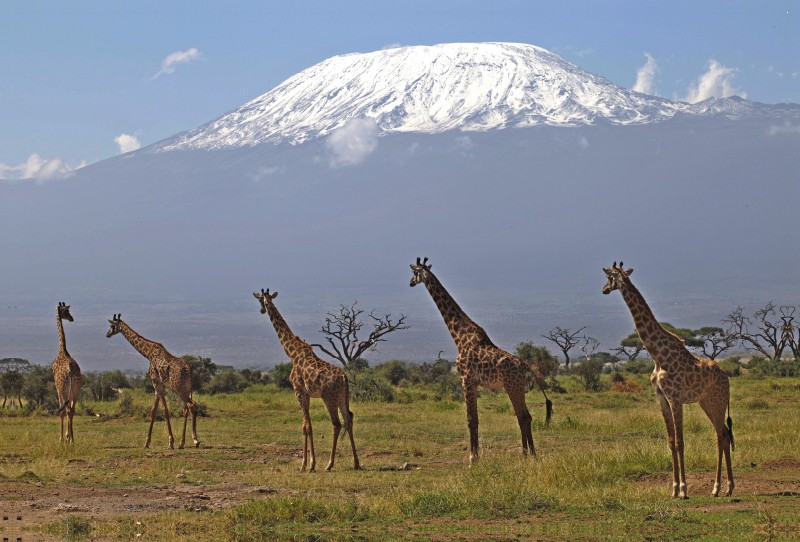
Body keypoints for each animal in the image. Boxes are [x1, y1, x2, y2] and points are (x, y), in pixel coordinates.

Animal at [106, 314, 198, 450]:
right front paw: (147, 442)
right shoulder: (158, 385)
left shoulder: (157, 383)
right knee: (186, 409)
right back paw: (182, 443)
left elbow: (164, 411)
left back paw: (195, 440)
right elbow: (153, 411)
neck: (148, 353)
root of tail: (189, 370)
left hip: (178, 387)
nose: (107, 334)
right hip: (187, 388)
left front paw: (170, 442)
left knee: (191, 405)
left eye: (112, 325)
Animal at [253, 288, 360, 472]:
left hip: (329, 398)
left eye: (261, 300)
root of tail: (344, 378)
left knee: (337, 424)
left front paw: (309, 465)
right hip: (343, 398)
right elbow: (305, 426)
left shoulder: (299, 391)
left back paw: (329, 464)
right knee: (348, 421)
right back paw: (356, 463)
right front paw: (305, 464)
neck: (292, 353)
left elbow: (307, 427)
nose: (261, 310)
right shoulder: (307, 394)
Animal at [410, 260, 552, 464]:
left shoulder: (466, 380)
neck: (459, 337)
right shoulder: (474, 383)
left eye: (414, 272)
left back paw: (530, 453)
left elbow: (470, 419)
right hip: (517, 386)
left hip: (513, 386)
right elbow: (475, 418)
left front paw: (472, 457)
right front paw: (475, 454)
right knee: (523, 416)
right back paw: (526, 453)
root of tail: (525, 366)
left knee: (524, 416)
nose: (411, 283)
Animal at [604, 262, 736, 500]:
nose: (604, 290)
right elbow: (672, 442)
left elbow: (681, 442)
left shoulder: (675, 398)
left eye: (609, 278)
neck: (658, 355)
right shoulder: (661, 399)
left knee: (721, 435)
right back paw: (722, 488)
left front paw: (684, 489)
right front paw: (674, 489)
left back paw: (721, 487)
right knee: (722, 433)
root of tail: (726, 375)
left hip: (718, 400)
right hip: (706, 401)